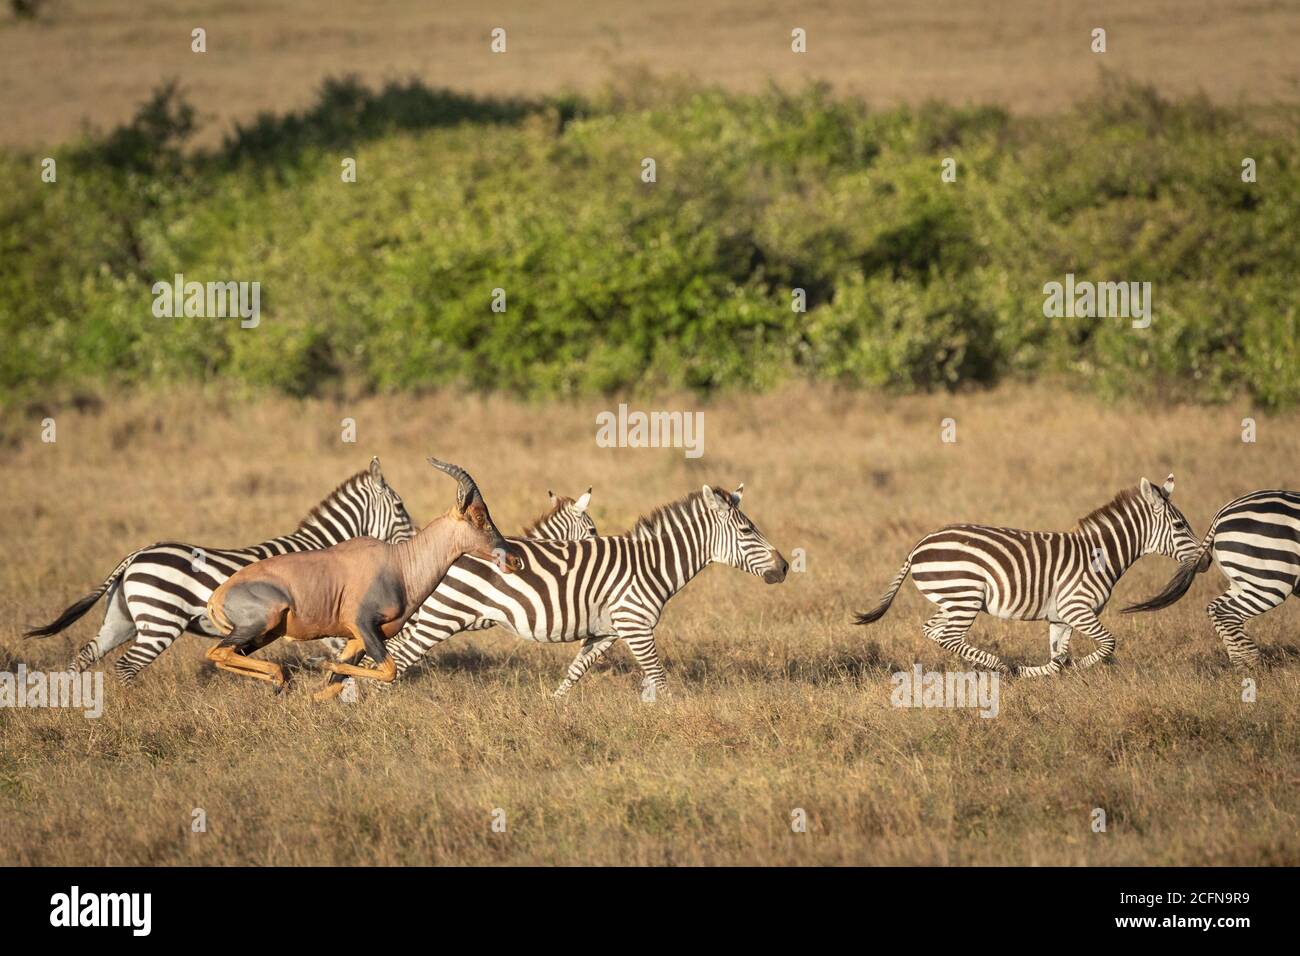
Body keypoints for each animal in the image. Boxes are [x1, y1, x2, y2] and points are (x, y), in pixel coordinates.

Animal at [24, 460, 416, 686]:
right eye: (400, 507)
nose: (414, 544)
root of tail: (135, 555)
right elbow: (348, 652)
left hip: (122, 620)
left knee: (85, 657)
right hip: (160, 623)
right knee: (127, 666)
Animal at [202, 460, 517, 697]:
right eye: (479, 517)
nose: (513, 560)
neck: (398, 564)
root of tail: (217, 596)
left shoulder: (357, 638)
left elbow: (332, 687)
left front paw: (324, 675)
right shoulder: (363, 625)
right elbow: (388, 670)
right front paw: (323, 664)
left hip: (264, 634)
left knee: (228, 654)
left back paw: (280, 681)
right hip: (259, 624)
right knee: (216, 652)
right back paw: (280, 677)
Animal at [358, 486, 780, 697]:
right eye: (747, 531)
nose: (784, 567)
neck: (652, 565)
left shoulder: (606, 632)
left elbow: (575, 672)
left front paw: (553, 710)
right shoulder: (636, 626)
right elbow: (658, 678)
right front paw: (674, 717)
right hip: (442, 614)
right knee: (396, 655)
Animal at [852, 476, 1196, 671]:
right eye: (1180, 525)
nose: (1203, 560)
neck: (1099, 556)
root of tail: (918, 546)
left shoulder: (1060, 618)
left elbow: (1057, 659)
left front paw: (1048, 672)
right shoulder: (1077, 609)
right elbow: (1109, 643)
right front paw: (1078, 665)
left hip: (950, 600)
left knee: (933, 631)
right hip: (965, 595)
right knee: (949, 636)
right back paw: (998, 665)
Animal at [1123, 486, 1300, 665]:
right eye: (1178, 525)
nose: (1206, 560)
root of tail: (1220, 515)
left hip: (1244, 580)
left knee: (1213, 608)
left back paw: (1240, 662)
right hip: (1272, 580)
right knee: (1225, 612)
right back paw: (1253, 664)